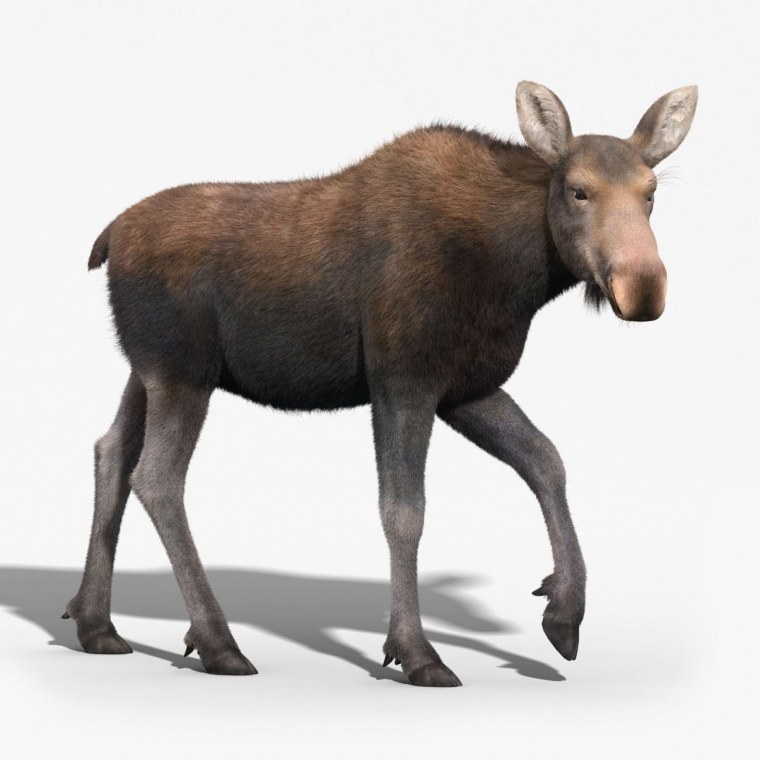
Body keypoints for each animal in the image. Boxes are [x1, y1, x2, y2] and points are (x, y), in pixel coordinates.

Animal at [64, 82, 697, 687]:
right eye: (578, 190)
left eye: (651, 192)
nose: (643, 287)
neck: (518, 272)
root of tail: (108, 239)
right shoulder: (402, 380)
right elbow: (404, 511)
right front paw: (416, 651)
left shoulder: (466, 389)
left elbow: (547, 461)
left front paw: (564, 612)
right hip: (183, 372)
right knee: (158, 478)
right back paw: (218, 643)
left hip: (146, 370)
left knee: (110, 450)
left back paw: (96, 624)